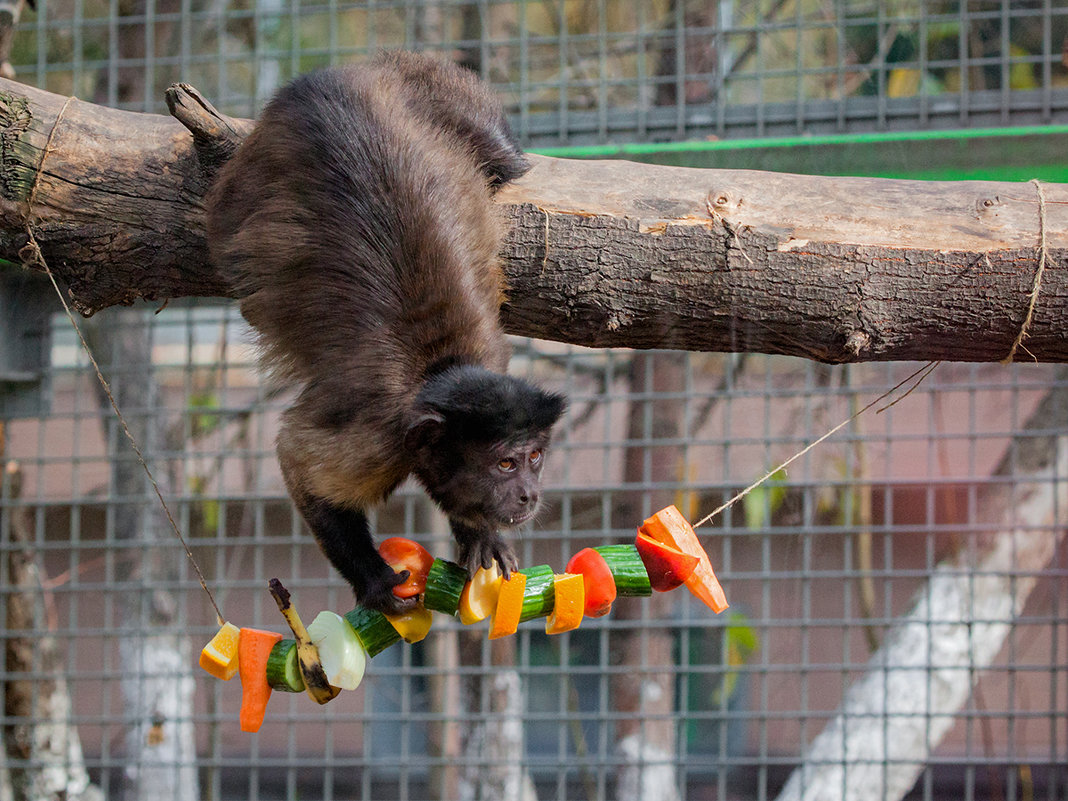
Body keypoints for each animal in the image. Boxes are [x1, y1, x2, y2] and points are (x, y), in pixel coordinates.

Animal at [202, 51, 563, 615]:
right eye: (506, 464)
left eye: (535, 458)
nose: (529, 493)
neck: (436, 371)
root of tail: (335, 76)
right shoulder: (379, 434)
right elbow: (298, 458)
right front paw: (373, 580)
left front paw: (478, 533)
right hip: (241, 183)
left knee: (505, 161)